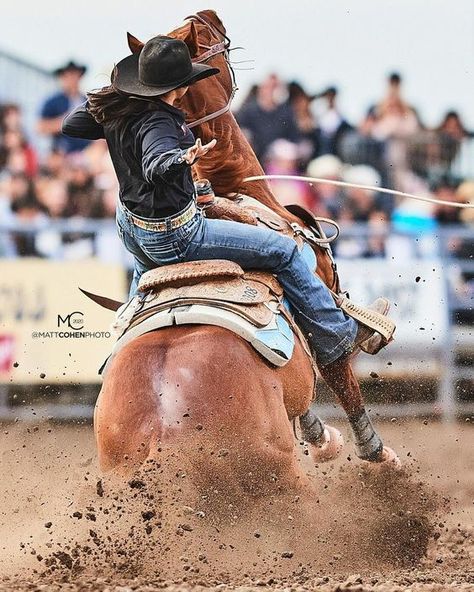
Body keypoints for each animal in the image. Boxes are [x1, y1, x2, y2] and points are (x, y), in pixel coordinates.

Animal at [95, 11, 396, 494]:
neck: (236, 191)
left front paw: (321, 436)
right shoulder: (320, 292)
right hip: (282, 478)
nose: (207, 15)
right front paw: (376, 455)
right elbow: (337, 366)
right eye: (208, 41)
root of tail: (162, 435)